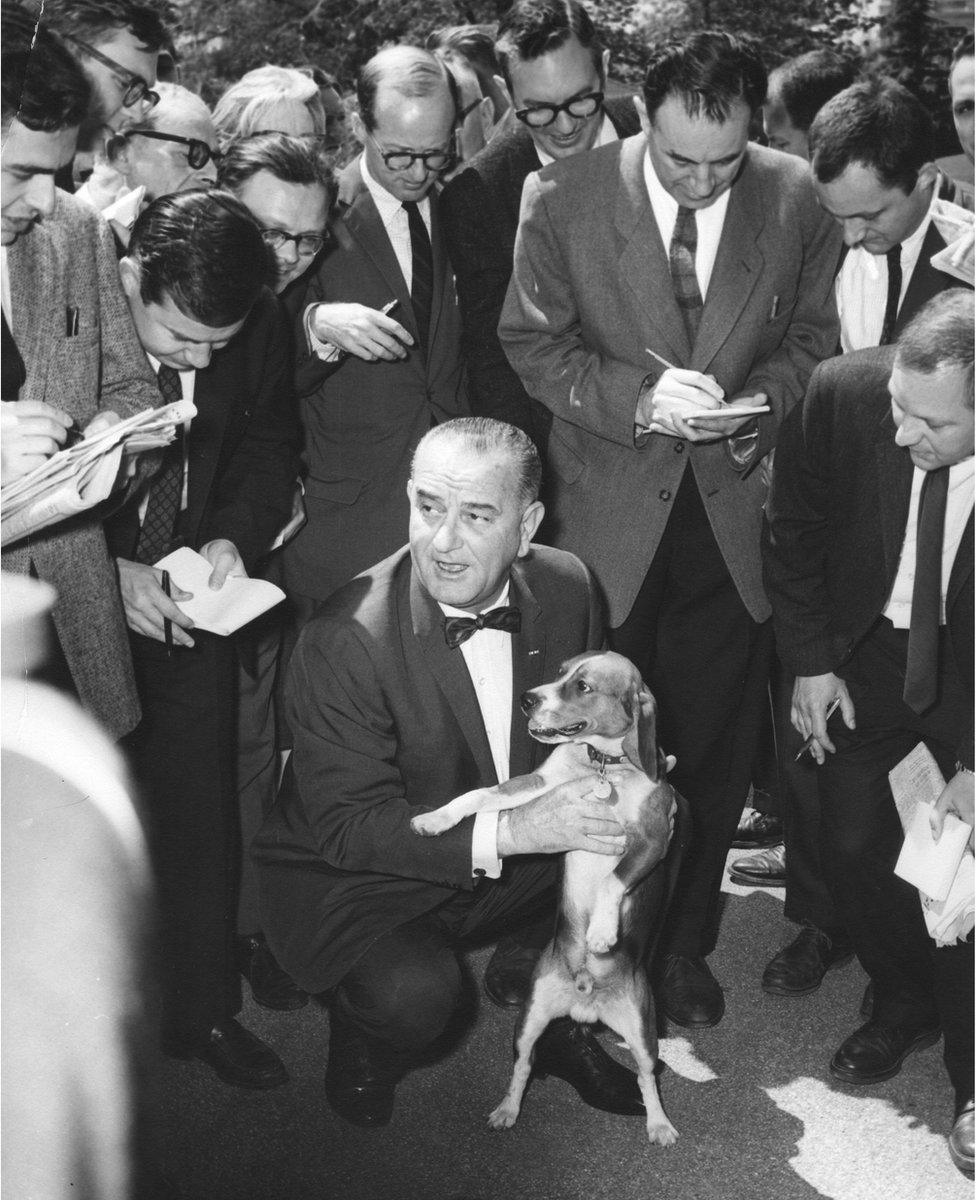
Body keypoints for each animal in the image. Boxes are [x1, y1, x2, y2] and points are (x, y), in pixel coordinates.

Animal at [410, 652, 677, 1147]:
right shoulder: (535, 783)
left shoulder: (653, 840)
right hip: (530, 1019)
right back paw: (507, 1109)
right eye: (560, 670)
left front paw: (601, 932)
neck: (601, 765)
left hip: (643, 1032)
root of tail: (584, 1003)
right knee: (523, 1066)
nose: (527, 699)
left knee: (647, 1077)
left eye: (584, 686)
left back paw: (660, 1124)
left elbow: (614, 879)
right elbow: (480, 794)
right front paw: (435, 819)